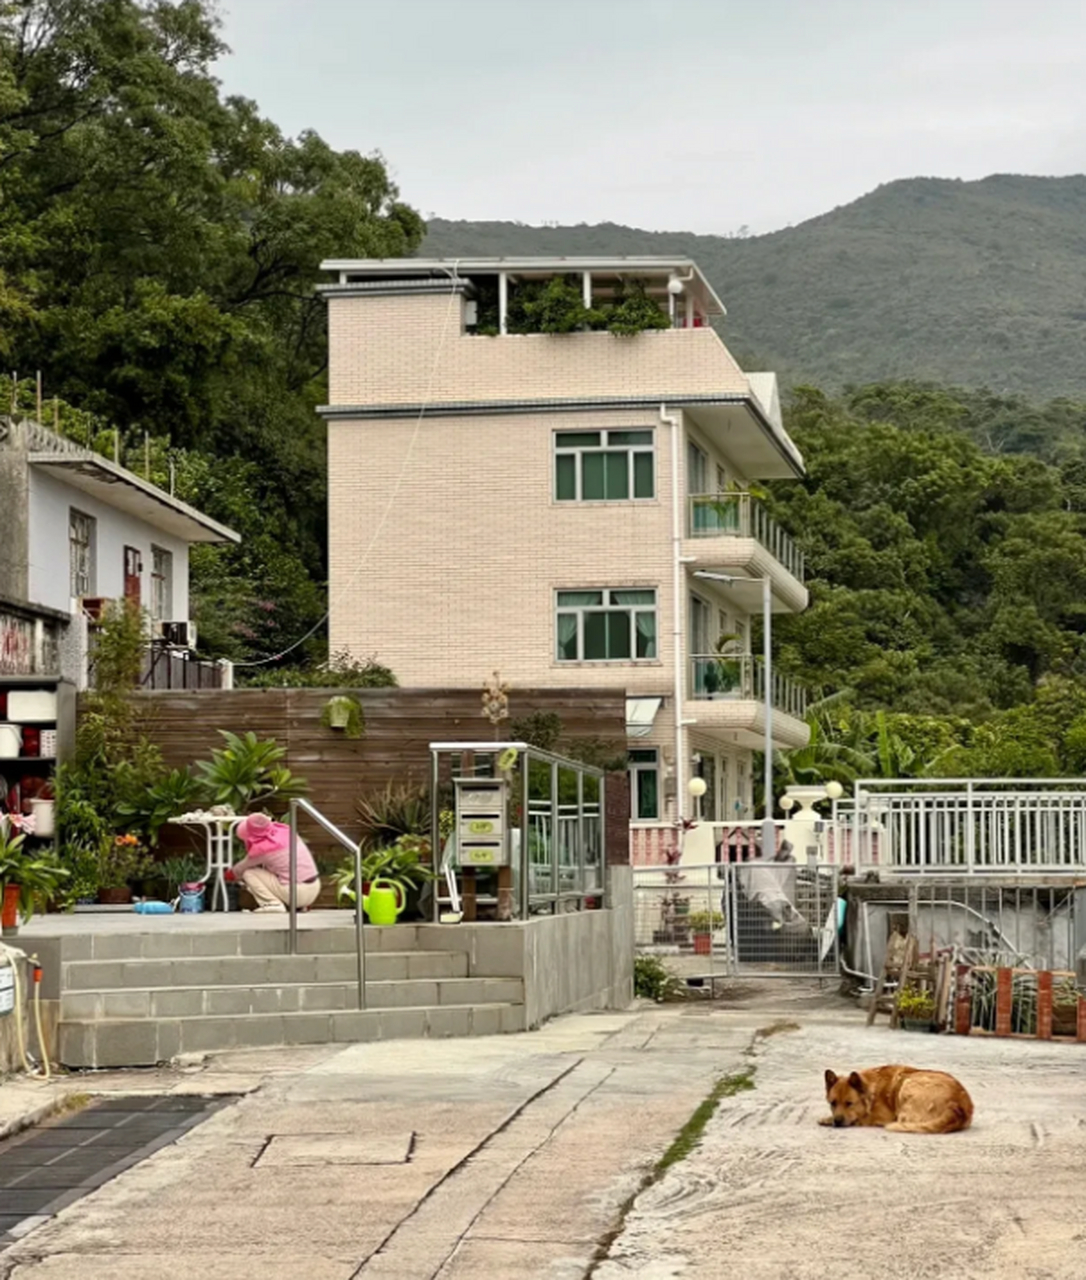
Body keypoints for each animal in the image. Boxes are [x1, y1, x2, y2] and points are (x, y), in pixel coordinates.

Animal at [824, 1064, 973, 1136]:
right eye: (833, 1103)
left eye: (849, 1104)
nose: (837, 1121)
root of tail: (957, 1105)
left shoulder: (884, 1116)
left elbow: (863, 1118)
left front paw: (827, 1119)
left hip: (908, 1083)